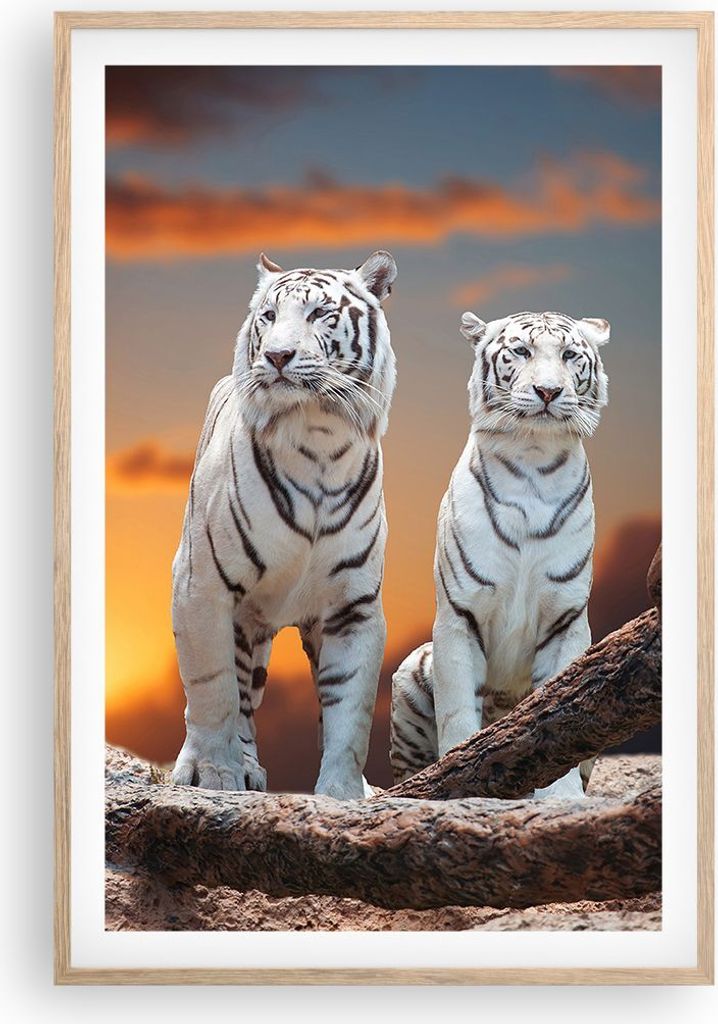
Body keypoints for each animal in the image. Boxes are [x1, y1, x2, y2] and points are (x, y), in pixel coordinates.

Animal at [171, 250, 397, 798]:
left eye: (320, 314)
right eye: (269, 317)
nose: (276, 356)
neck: (318, 436)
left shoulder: (354, 606)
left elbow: (351, 712)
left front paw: (343, 794)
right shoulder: (200, 584)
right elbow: (212, 690)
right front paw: (212, 774)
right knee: (236, 696)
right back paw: (240, 768)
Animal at [390, 309, 611, 798]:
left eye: (570, 355)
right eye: (521, 351)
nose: (548, 391)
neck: (533, 458)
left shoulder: (566, 619)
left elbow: (561, 711)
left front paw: (562, 797)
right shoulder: (459, 614)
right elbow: (457, 713)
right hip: (411, 671)